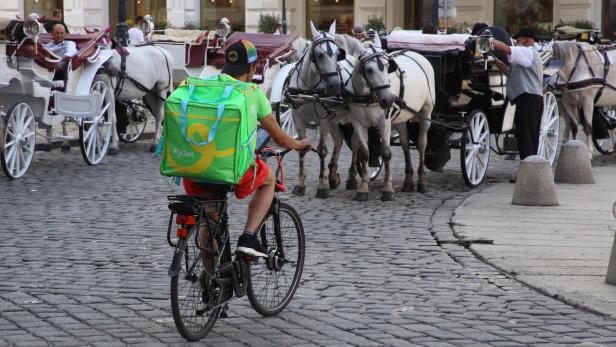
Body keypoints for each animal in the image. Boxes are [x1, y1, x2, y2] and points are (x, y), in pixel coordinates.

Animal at [344, 42, 436, 201]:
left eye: (388, 67)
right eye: (369, 69)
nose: (388, 99)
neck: (368, 97)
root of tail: (417, 55)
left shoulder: (384, 124)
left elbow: (386, 153)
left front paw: (387, 189)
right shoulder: (358, 123)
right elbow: (364, 153)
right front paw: (363, 189)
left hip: (426, 113)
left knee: (422, 143)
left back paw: (422, 181)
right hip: (400, 118)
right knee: (405, 143)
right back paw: (408, 181)